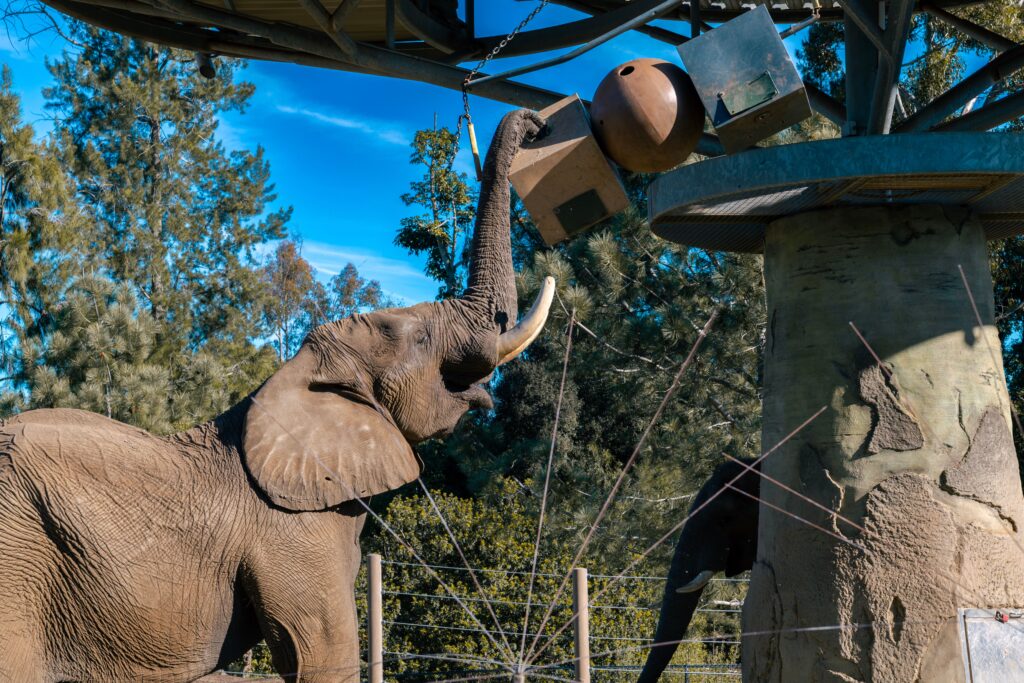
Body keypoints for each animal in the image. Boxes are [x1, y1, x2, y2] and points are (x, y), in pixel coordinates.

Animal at [0, 109, 551, 683]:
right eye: (420, 339)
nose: (536, 124)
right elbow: (323, 656)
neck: (296, 374)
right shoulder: (290, 531)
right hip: (17, 559)